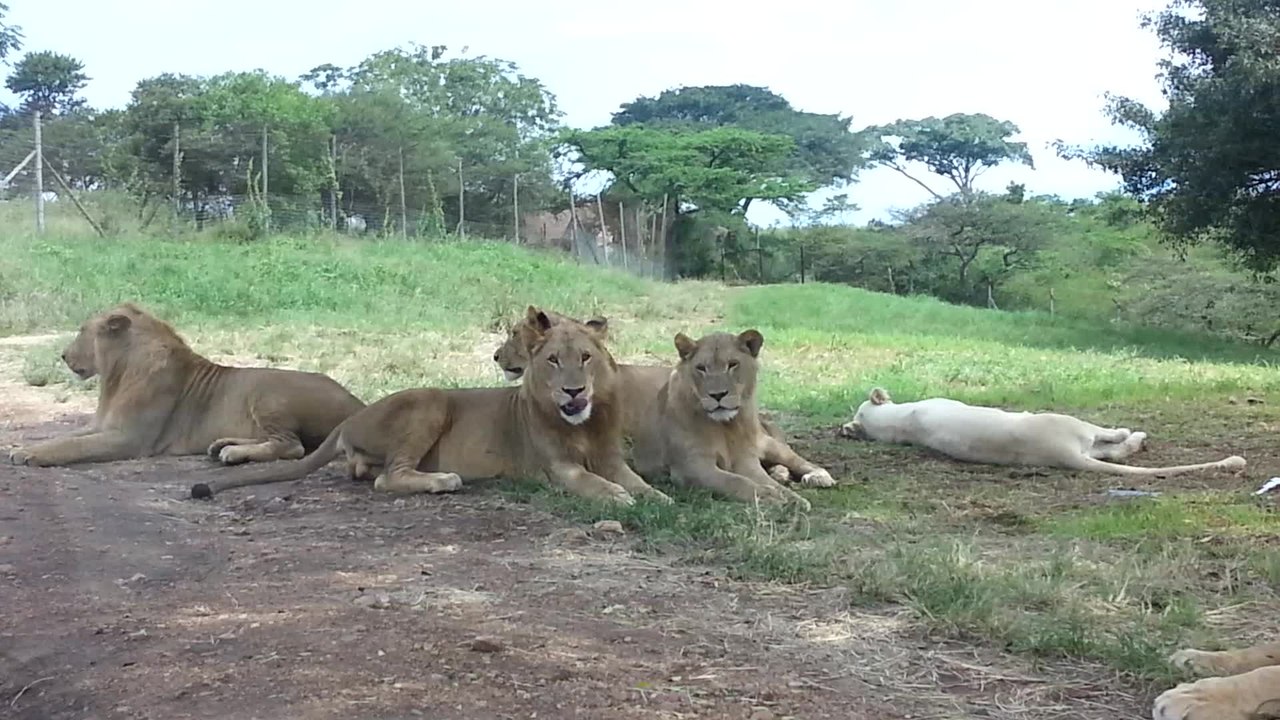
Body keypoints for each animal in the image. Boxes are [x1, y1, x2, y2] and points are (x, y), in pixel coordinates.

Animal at [7, 302, 366, 468]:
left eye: (83, 330)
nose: (63, 355)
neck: (116, 375)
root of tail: (358, 404)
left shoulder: (130, 439)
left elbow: (74, 447)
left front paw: (29, 454)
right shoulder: (102, 425)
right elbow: (66, 436)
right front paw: (21, 447)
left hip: (267, 392)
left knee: (292, 446)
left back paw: (233, 453)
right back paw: (223, 445)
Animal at [188, 307, 672, 507]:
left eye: (585, 358)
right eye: (553, 360)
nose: (573, 392)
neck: (583, 424)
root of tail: (350, 421)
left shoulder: (612, 458)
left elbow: (642, 484)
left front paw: (658, 498)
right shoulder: (558, 468)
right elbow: (593, 483)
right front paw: (619, 498)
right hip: (430, 401)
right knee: (387, 478)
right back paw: (444, 480)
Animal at [627, 329, 830, 511]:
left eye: (732, 364)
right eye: (701, 368)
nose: (718, 395)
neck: (726, 426)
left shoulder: (745, 460)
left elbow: (762, 480)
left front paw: (793, 498)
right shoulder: (692, 466)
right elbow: (736, 481)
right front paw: (771, 496)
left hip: (765, 443)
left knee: (794, 458)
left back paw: (819, 475)